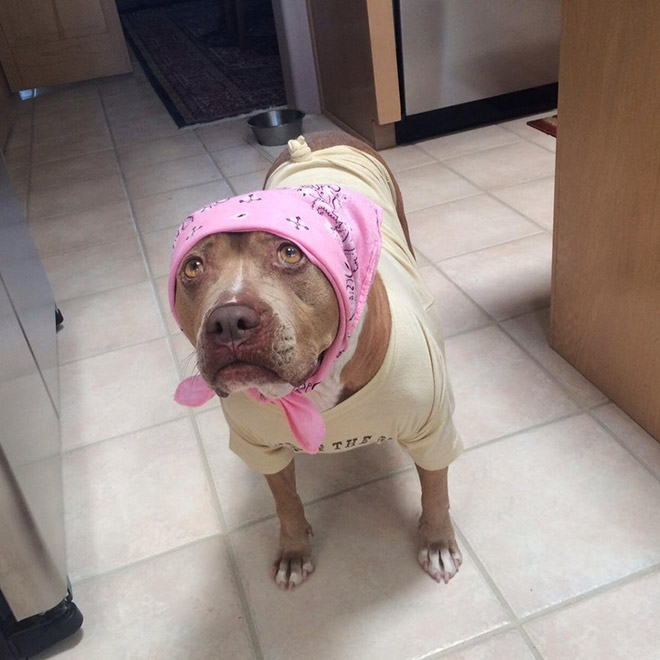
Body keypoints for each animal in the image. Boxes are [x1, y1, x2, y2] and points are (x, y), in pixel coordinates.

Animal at [169, 131, 464, 589]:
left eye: (290, 253)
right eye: (193, 267)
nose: (229, 321)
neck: (314, 385)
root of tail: (319, 139)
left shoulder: (433, 430)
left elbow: (435, 492)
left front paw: (437, 543)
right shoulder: (261, 446)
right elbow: (286, 501)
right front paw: (293, 550)